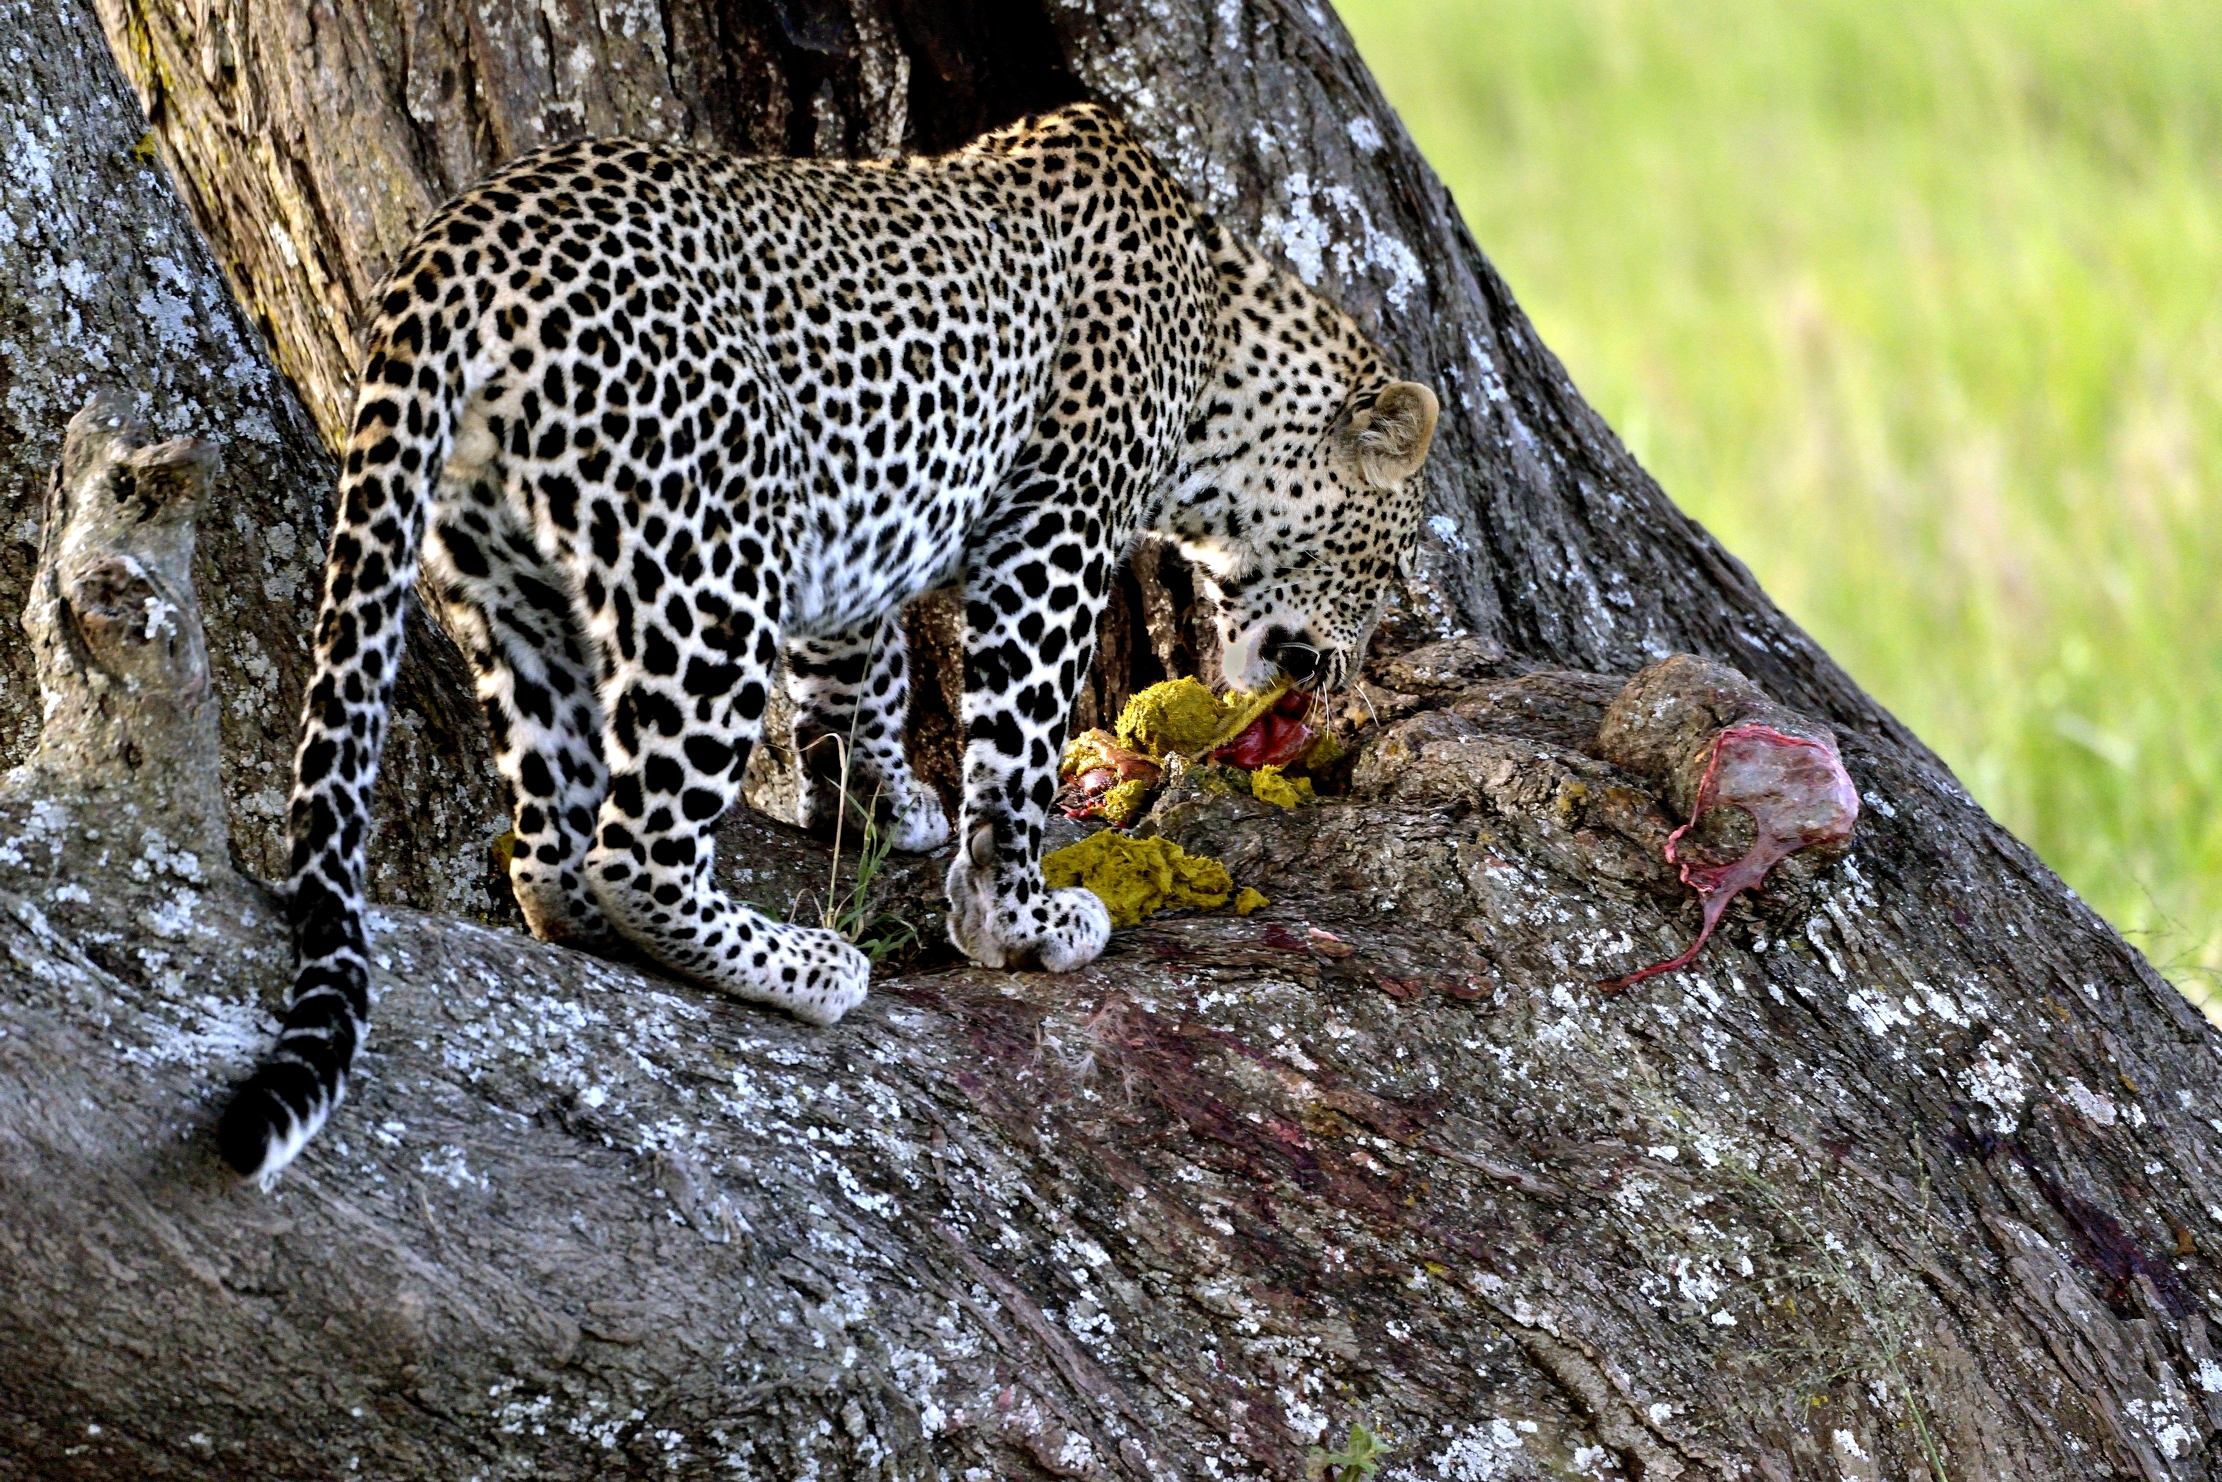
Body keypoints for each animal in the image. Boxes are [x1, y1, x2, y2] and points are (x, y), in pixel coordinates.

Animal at [218, 102, 1440, 1182]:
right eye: (1386, 569)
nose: (1347, 673)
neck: (1225, 350)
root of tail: (461, 235)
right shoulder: (1051, 536)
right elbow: (1017, 749)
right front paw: (1017, 918)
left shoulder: (855, 547)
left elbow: (859, 680)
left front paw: (878, 808)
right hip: (711, 549)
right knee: (640, 842)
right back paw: (804, 967)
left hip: (509, 579)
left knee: (549, 838)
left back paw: (589, 921)